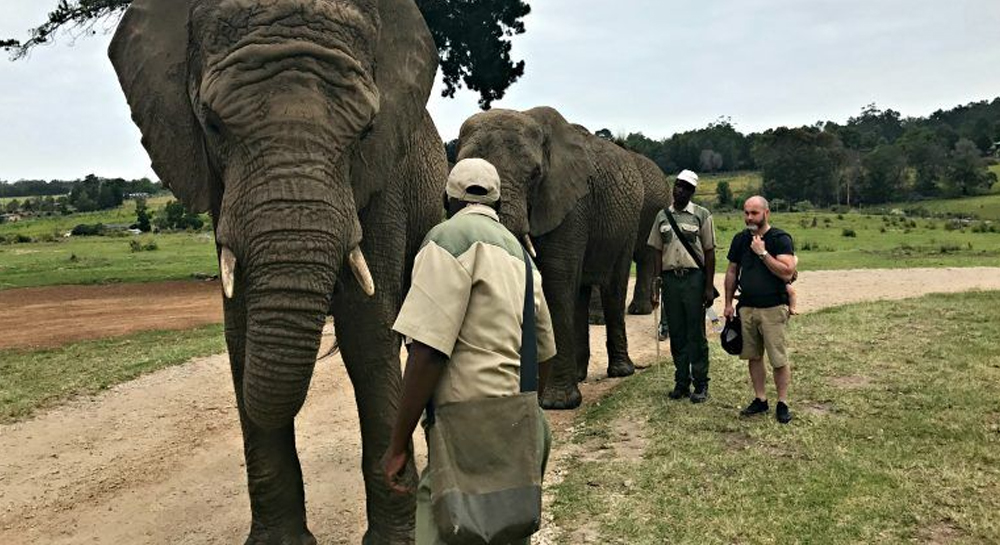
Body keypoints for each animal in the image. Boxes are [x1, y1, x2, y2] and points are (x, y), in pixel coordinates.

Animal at [455, 106, 652, 410]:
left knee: (613, 286)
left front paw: (557, 404)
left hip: (630, 222)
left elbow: (555, 284)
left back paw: (620, 371)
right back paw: (580, 375)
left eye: (535, 174)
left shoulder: (569, 204)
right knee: (580, 292)